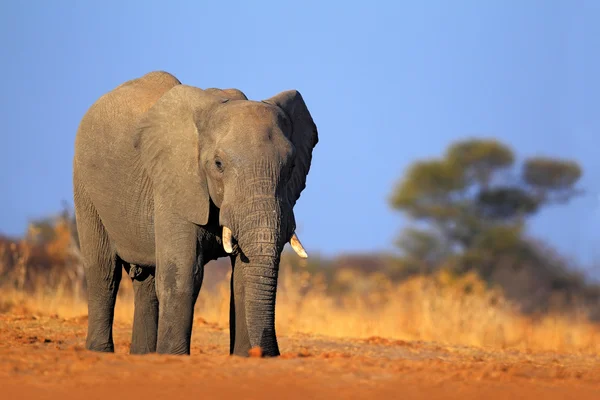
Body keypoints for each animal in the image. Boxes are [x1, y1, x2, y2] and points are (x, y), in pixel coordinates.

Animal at [72, 71, 318, 356]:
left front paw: (244, 358)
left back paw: (144, 355)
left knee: (146, 280)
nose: (268, 353)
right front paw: (174, 357)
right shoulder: (175, 180)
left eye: (291, 166)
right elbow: (183, 274)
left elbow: (242, 278)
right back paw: (99, 352)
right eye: (218, 164)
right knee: (103, 272)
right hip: (84, 185)